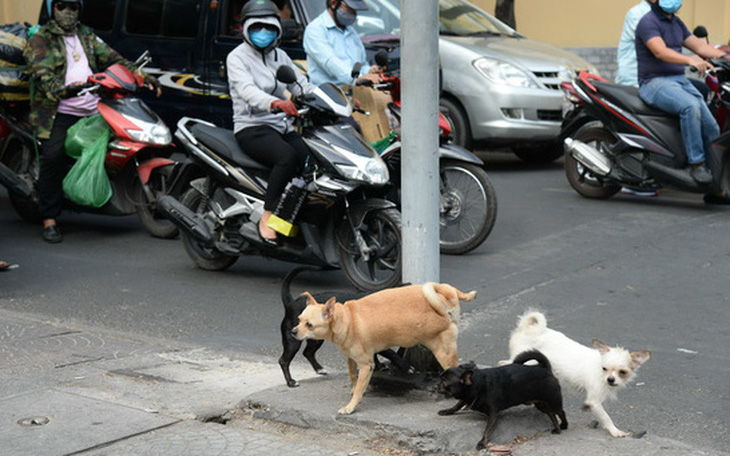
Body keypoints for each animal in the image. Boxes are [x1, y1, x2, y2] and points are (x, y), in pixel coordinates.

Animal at [278, 266, 406, 386]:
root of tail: (290, 303)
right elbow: (392, 353)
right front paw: (405, 366)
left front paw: (379, 366)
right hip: (293, 342)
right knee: (283, 360)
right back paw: (291, 382)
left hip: (316, 340)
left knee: (307, 352)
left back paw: (319, 369)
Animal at [292, 282, 474, 414]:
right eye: (299, 319)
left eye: (309, 325)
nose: (293, 331)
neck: (347, 320)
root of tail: (444, 305)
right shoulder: (351, 360)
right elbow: (353, 378)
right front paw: (354, 391)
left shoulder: (366, 365)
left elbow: (359, 387)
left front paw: (351, 406)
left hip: (444, 355)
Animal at [436, 350, 564, 448]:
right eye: (440, 378)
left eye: (444, 382)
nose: (437, 384)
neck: (476, 384)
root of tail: (544, 368)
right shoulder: (466, 397)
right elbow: (457, 405)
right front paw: (447, 411)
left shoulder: (493, 415)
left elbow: (487, 431)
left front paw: (482, 442)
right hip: (541, 404)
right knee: (552, 415)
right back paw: (557, 428)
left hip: (553, 401)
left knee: (560, 412)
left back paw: (564, 426)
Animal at [504, 312, 652, 436]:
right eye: (604, 368)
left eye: (622, 372)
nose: (610, 379)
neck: (600, 372)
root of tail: (526, 328)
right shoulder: (594, 402)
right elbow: (606, 417)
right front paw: (615, 431)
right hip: (527, 362)